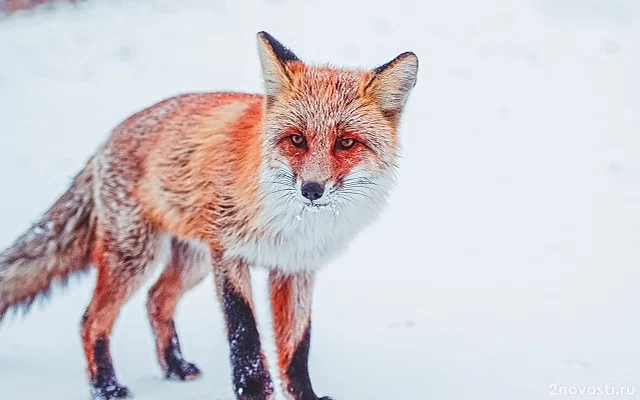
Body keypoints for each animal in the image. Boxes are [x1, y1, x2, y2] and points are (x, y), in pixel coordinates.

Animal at [0, 32, 418, 400]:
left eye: (346, 142)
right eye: (297, 139)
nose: (311, 189)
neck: (291, 225)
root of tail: (107, 140)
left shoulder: (295, 268)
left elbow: (297, 347)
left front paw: (306, 396)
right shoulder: (229, 256)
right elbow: (244, 336)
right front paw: (253, 393)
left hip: (192, 261)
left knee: (156, 300)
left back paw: (174, 367)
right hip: (138, 256)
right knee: (92, 320)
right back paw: (106, 387)